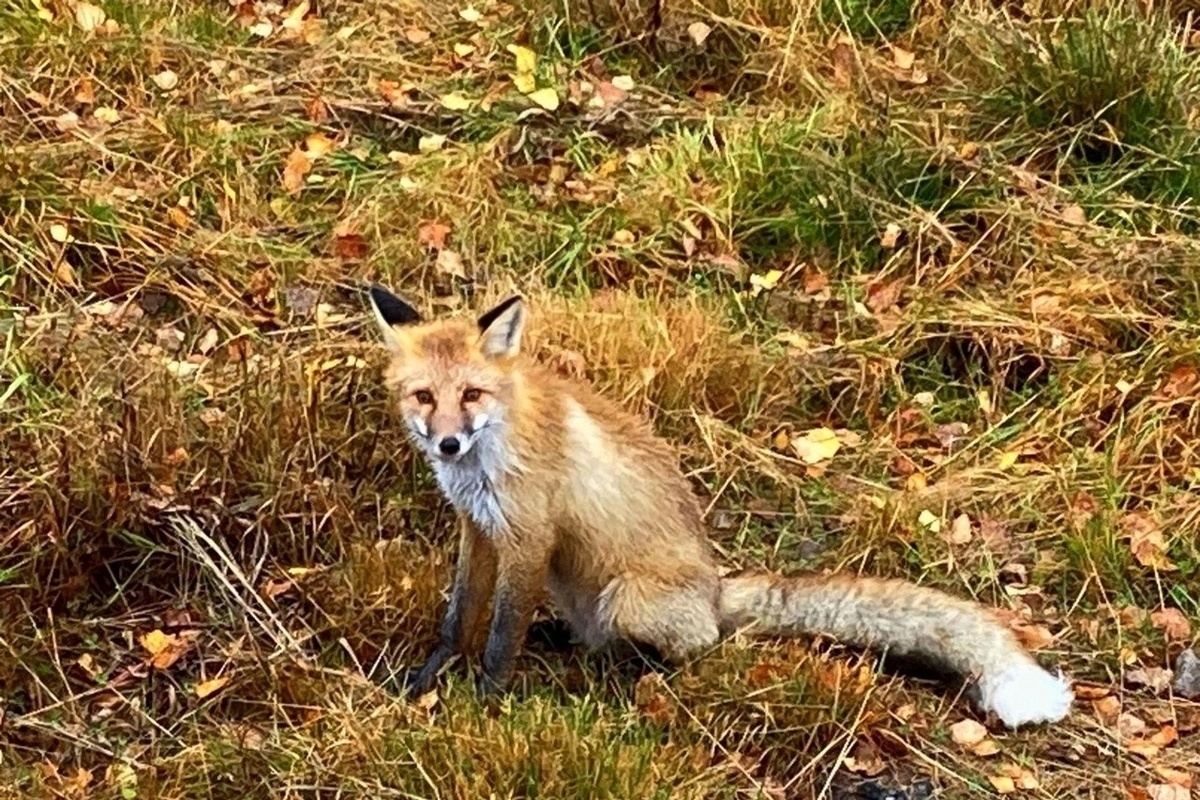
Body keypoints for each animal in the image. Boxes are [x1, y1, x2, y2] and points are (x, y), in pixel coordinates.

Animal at [367, 284, 1080, 729]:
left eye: (473, 394)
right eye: (424, 396)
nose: (449, 442)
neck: (490, 451)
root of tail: (715, 590)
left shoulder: (528, 538)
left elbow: (499, 637)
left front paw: (484, 703)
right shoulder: (479, 528)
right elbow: (460, 618)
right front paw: (427, 681)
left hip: (628, 597)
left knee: (694, 648)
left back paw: (628, 676)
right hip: (578, 589)